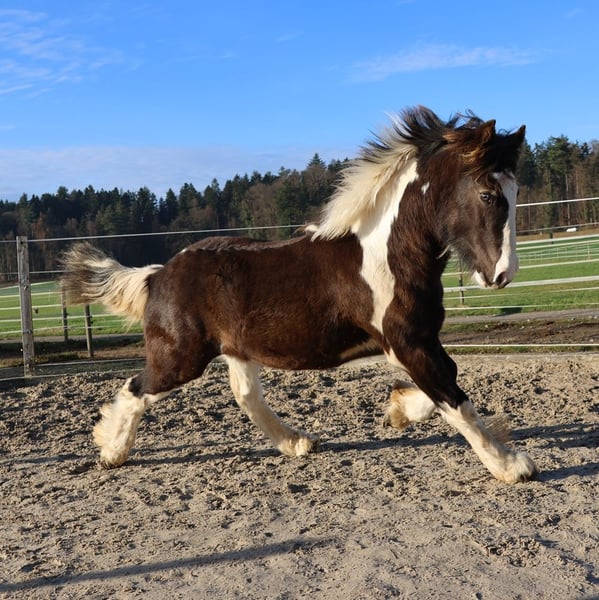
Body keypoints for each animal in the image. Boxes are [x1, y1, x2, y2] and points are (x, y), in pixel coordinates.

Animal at [60, 106, 537, 483]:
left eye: (515, 192)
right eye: (487, 193)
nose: (502, 274)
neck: (388, 253)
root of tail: (157, 275)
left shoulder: (418, 340)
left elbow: (446, 382)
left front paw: (398, 409)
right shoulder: (406, 341)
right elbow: (455, 398)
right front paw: (511, 465)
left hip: (237, 349)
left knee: (246, 397)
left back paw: (298, 443)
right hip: (181, 357)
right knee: (136, 388)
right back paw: (111, 451)